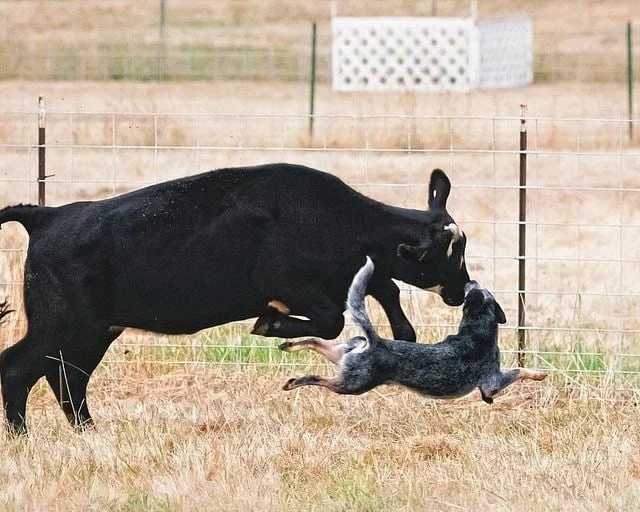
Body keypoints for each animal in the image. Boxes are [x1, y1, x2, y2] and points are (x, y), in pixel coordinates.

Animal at [0, 163, 470, 432]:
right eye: (450, 254)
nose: (463, 290)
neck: (340, 218)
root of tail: (49, 216)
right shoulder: (293, 285)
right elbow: (333, 318)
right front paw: (272, 324)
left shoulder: (350, 275)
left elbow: (387, 292)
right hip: (63, 326)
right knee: (19, 369)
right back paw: (22, 437)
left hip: (90, 333)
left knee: (67, 379)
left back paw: (88, 432)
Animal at [280, 258, 544, 402]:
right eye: (476, 290)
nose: (471, 281)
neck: (475, 330)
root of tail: (375, 341)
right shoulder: (492, 382)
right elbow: (519, 371)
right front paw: (539, 374)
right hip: (352, 385)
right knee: (317, 378)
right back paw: (294, 381)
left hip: (345, 358)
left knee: (317, 342)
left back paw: (289, 346)